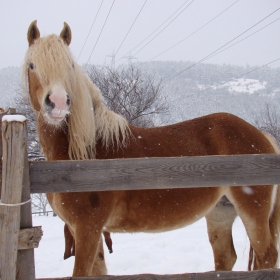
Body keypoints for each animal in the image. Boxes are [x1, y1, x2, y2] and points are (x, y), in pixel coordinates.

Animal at [23, 20, 280, 276]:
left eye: (70, 66)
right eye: (32, 65)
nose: (58, 102)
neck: (84, 154)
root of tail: (263, 136)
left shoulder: (88, 228)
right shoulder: (84, 231)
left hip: (253, 212)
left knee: (267, 255)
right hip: (221, 212)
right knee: (226, 256)